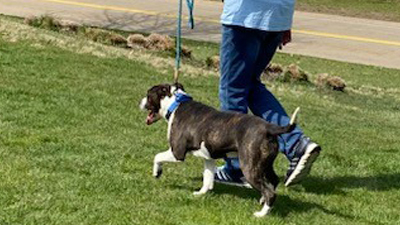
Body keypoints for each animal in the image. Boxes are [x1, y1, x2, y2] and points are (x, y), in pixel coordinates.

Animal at [139, 83, 298, 217]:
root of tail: (269, 128)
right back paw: (262, 201)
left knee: (270, 192)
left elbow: (157, 156)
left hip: (249, 167)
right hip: (265, 164)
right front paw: (201, 193)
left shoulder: (177, 152)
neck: (176, 104)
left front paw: (157, 172)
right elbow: (207, 178)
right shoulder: (208, 158)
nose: (139, 102)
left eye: (148, 95)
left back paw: (261, 214)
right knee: (273, 181)